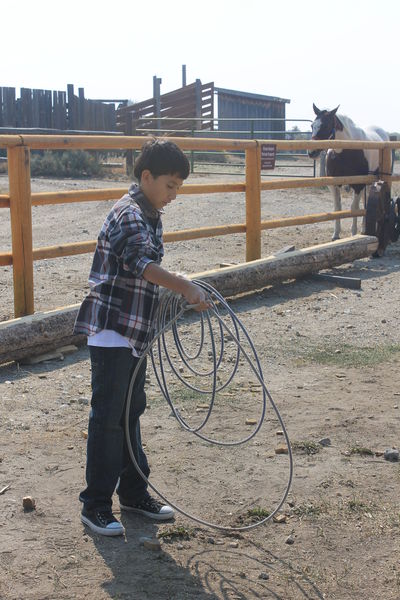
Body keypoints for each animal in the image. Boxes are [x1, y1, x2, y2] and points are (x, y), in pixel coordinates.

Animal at [308, 104, 390, 240]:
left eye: (326, 125)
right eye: (312, 125)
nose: (311, 152)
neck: (346, 149)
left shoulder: (358, 185)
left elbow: (354, 208)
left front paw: (353, 233)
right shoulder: (335, 184)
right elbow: (337, 208)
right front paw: (336, 234)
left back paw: (363, 229)